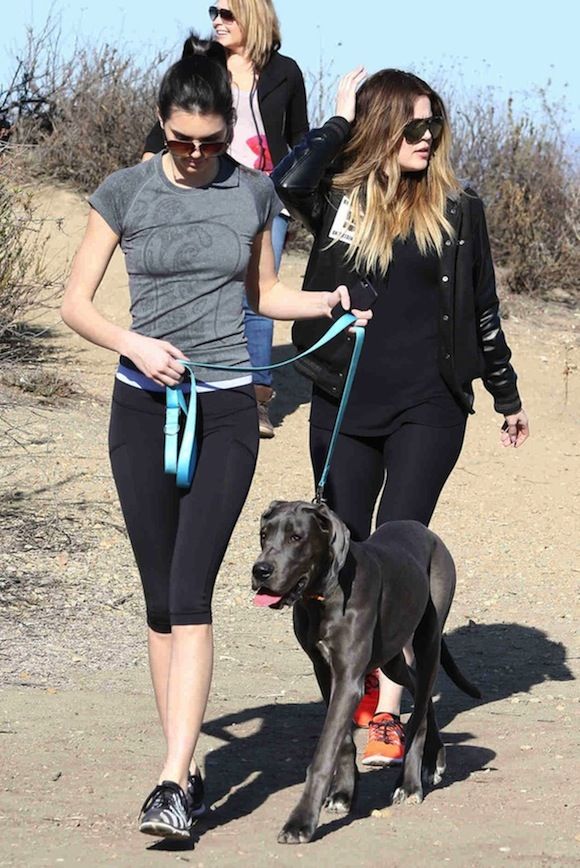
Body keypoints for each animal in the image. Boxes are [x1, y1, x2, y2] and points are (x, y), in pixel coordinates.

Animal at [251, 498, 478, 844]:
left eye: (296, 537)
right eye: (265, 534)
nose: (260, 570)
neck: (323, 595)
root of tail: (426, 532)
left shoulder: (349, 679)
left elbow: (323, 754)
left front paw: (301, 822)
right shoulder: (326, 672)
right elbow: (342, 741)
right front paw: (343, 793)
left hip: (427, 643)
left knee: (419, 713)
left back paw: (410, 784)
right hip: (391, 658)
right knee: (419, 694)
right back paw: (434, 757)